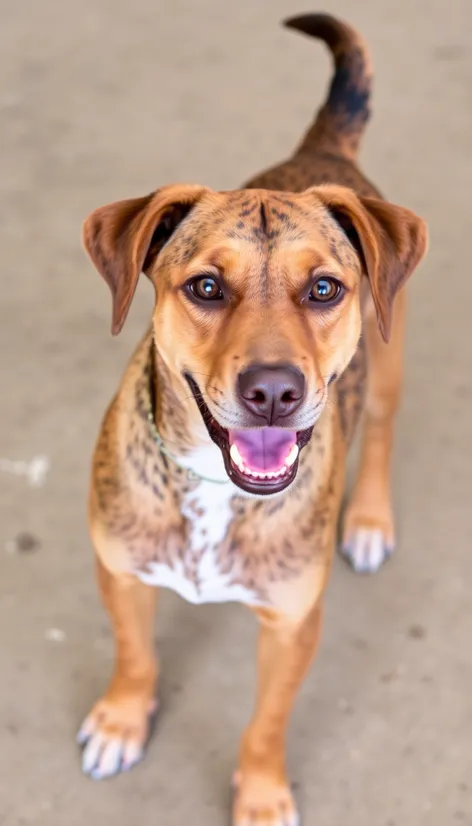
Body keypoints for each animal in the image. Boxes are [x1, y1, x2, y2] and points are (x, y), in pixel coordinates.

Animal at [77, 14, 428, 824]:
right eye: (206, 286)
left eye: (324, 289)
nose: (274, 392)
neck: (216, 489)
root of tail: (321, 154)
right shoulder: (121, 572)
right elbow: (135, 656)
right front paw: (122, 718)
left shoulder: (293, 624)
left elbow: (266, 721)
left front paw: (263, 792)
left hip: (387, 364)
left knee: (383, 432)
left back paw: (369, 520)